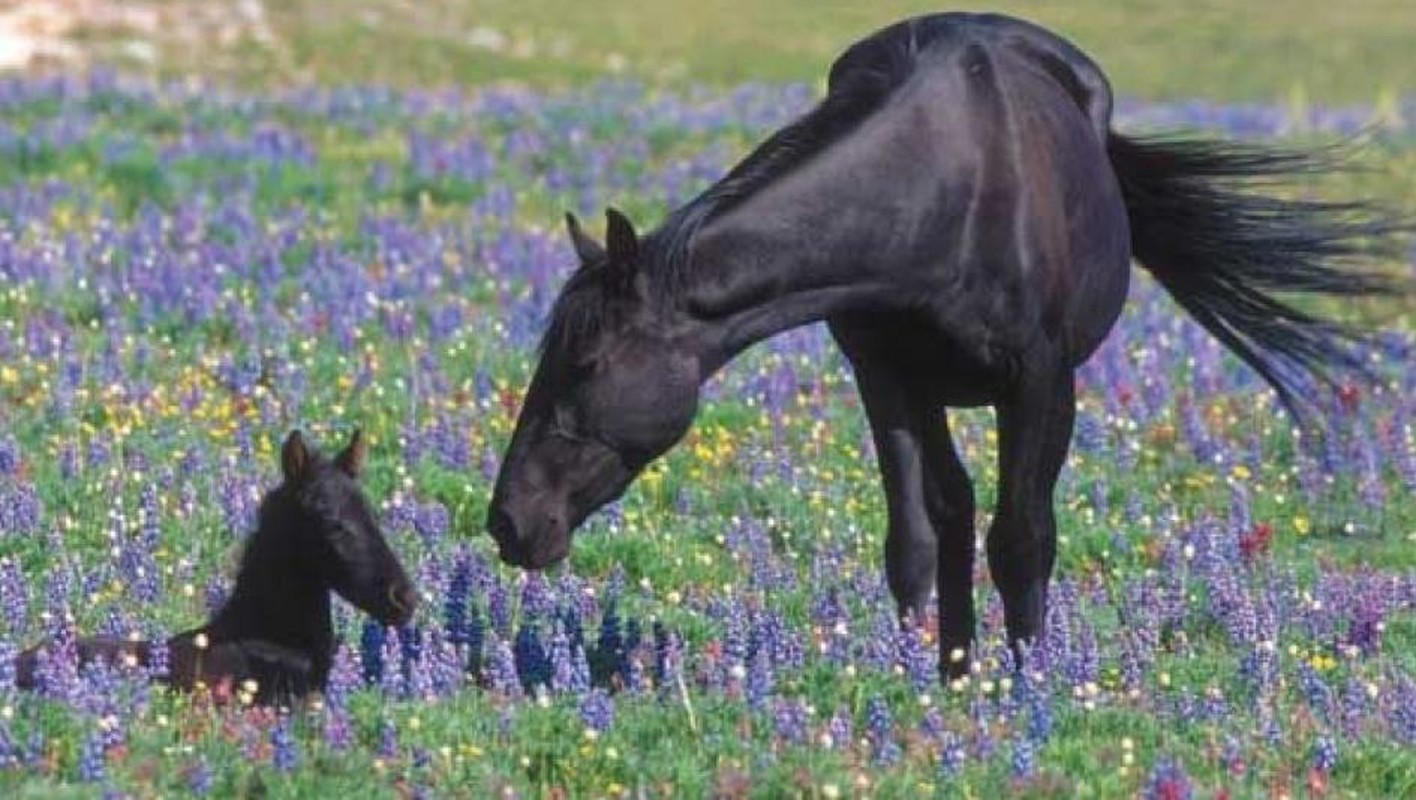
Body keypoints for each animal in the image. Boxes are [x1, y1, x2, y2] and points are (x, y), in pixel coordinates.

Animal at [489, 12, 1404, 673]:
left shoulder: (1041, 381)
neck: (940, 199)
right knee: (953, 508)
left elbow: (1024, 538)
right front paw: (924, 681)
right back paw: (957, 668)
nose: (508, 521)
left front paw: (1032, 686)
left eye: (586, 362)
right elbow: (916, 539)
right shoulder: (885, 375)